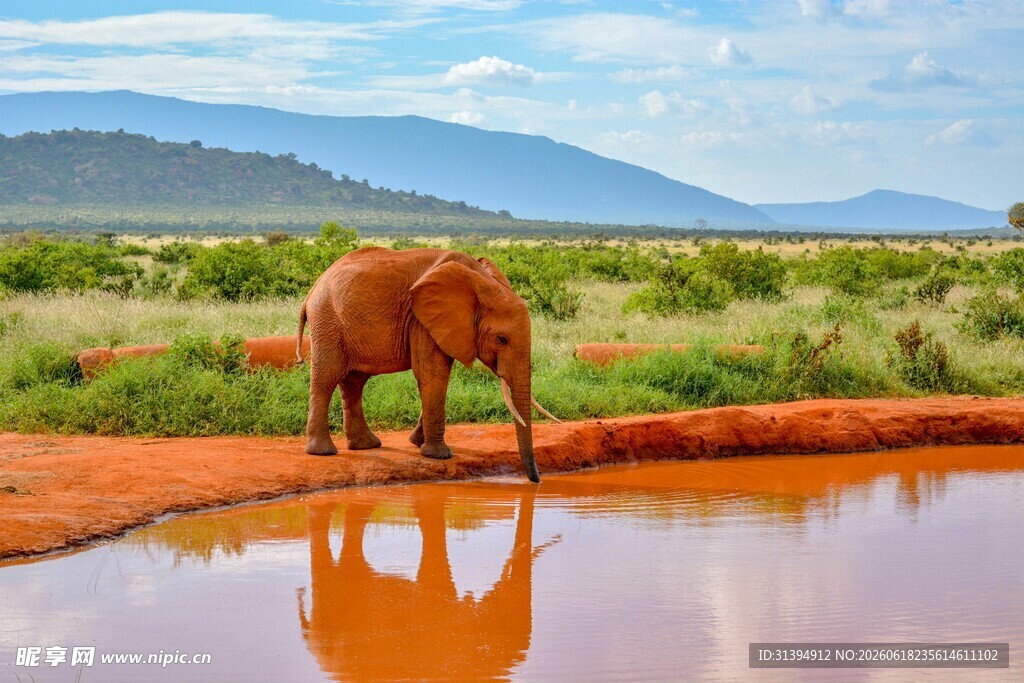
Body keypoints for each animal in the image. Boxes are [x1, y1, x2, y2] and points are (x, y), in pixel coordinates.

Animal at [296, 247, 558, 482]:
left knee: (354, 382)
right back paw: (324, 452)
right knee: (327, 378)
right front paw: (439, 455)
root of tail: (312, 291)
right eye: (502, 339)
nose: (535, 480)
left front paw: (417, 443)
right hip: (328, 321)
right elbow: (432, 374)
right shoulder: (421, 320)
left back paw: (366, 445)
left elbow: (437, 375)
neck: (482, 282)